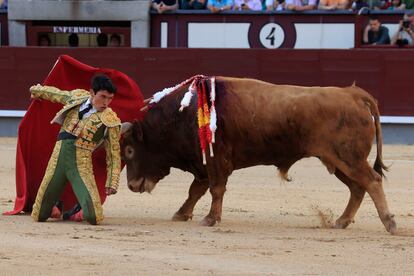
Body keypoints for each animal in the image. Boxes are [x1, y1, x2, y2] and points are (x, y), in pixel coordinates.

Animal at [121, 76, 396, 234]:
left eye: (130, 150)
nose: (132, 185)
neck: (179, 116)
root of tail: (353, 94)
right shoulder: (203, 164)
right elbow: (195, 191)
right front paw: (182, 214)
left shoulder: (215, 160)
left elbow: (215, 190)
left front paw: (210, 219)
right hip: (338, 161)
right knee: (357, 188)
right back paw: (342, 221)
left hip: (348, 158)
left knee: (372, 181)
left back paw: (389, 223)